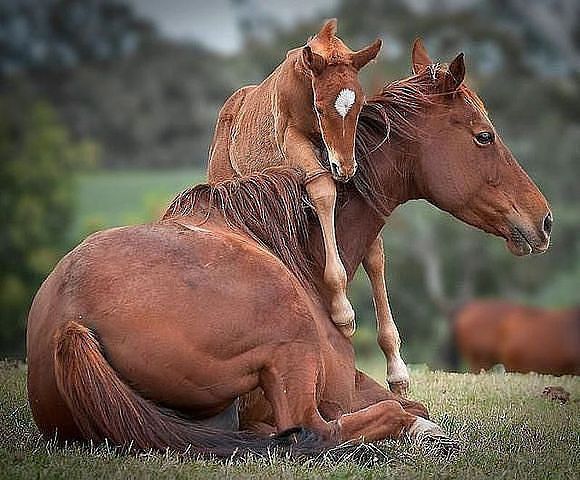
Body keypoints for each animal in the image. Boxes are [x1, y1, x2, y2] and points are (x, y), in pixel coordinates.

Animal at [210, 17, 386, 334]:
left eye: (359, 106)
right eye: (319, 107)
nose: (345, 168)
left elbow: (374, 247)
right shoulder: (291, 138)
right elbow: (323, 188)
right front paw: (343, 311)